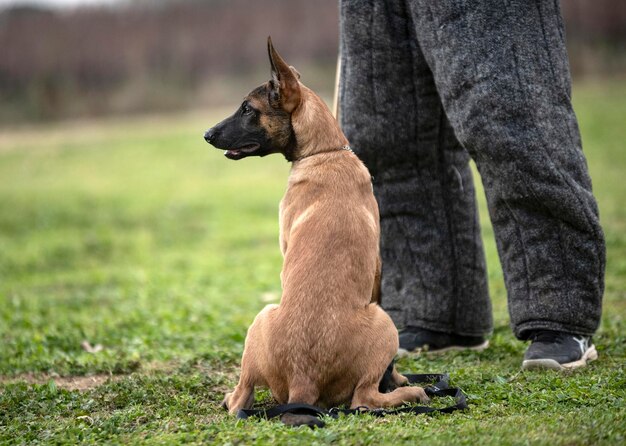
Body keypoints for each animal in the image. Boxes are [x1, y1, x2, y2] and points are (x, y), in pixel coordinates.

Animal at [202, 37, 426, 426]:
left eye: (247, 109)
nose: (207, 134)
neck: (325, 152)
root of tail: (301, 379)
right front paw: (396, 378)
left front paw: (396, 380)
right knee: (358, 399)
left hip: (285, 317)